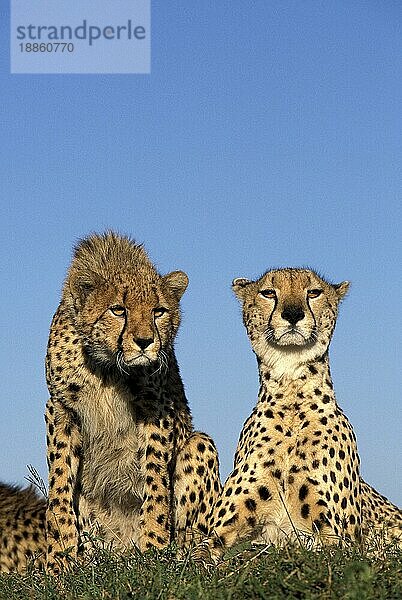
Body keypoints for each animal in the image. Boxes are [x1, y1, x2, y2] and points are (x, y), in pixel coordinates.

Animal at [44, 233, 223, 572]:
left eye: (159, 311)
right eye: (118, 310)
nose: (144, 342)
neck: (108, 367)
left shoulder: (157, 410)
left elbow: (155, 482)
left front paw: (154, 547)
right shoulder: (61, 410)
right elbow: (59, 484)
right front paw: (59, 555)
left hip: (199, 444)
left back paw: (187, 555)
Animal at [203, 270, 400, 560]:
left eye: (314, 292)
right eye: (268, 293)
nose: (293, 314)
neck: (291, 392)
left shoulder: (336, 541)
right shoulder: (217, 534)